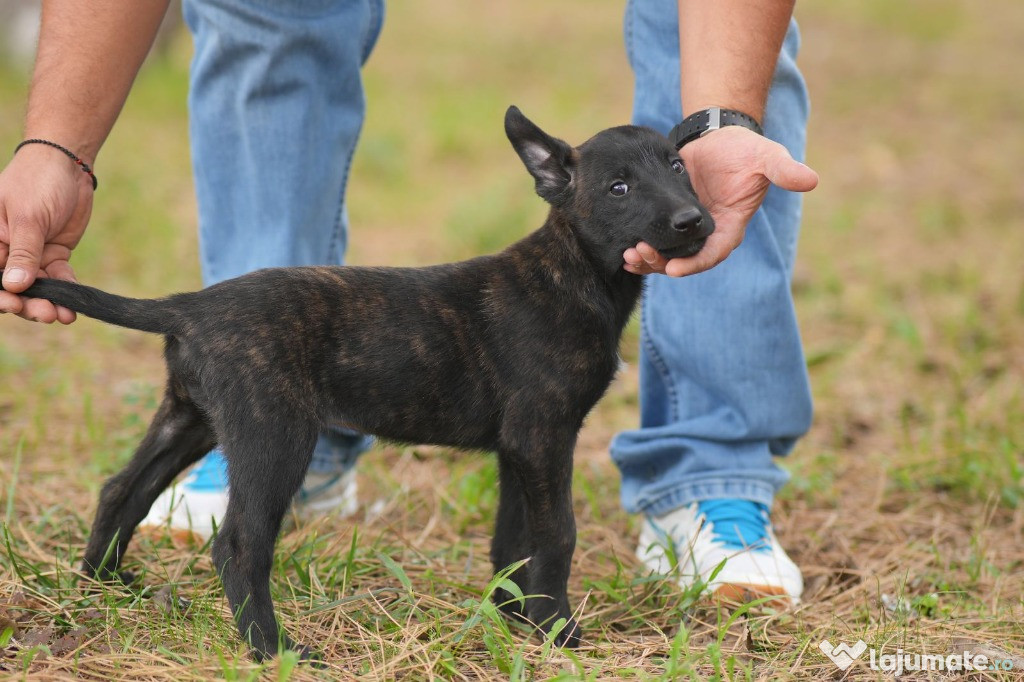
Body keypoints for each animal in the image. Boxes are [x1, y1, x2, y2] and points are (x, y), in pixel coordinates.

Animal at [2, 106, 712, 659]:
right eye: (618, 187)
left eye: (678, 167)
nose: (694, 221)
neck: (574, 272)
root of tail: (188, 306)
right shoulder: (544, 437)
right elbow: (557, 533)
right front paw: (557, 630)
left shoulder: (519, 447)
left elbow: (513, 540)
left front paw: (514, 618)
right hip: (274, 435)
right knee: (238, 544)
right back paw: (272, 648)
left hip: (191, 418)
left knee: (122, 490)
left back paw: (106, 586)